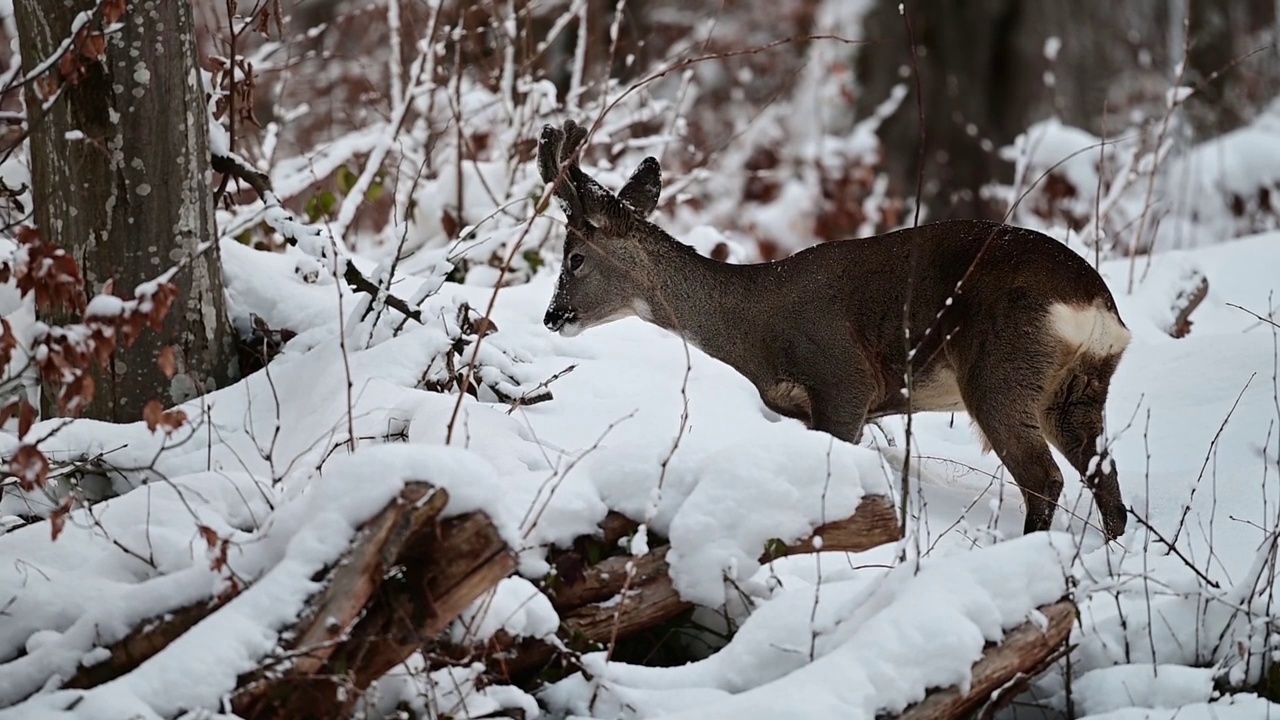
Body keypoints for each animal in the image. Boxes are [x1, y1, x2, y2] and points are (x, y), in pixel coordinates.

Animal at [537, 119, 1131, 538]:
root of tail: (1096, 305)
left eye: (575, 258)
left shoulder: (843, 381)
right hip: (1077, 391)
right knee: (1105, 482)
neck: (754, 323)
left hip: (1000, 373)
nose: (552, 316)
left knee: (1044, 479)